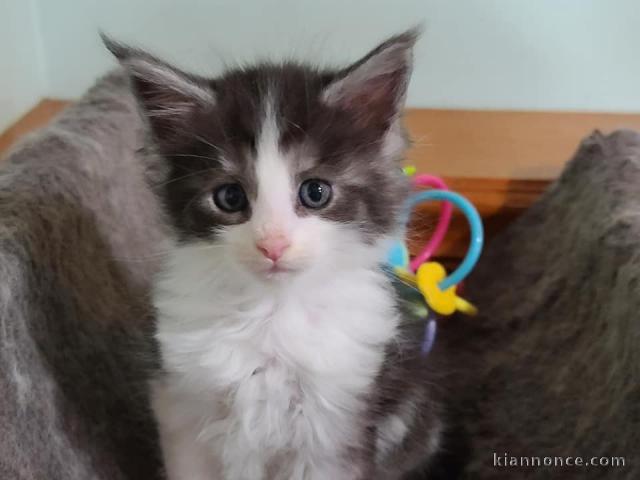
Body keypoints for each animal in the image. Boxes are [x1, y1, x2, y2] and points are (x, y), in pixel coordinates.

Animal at [107, 30, 452, 480]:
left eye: (315, 192)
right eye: (230, 197)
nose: (273, 244)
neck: (270, 314)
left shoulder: (336, 427)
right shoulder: (181, 407)